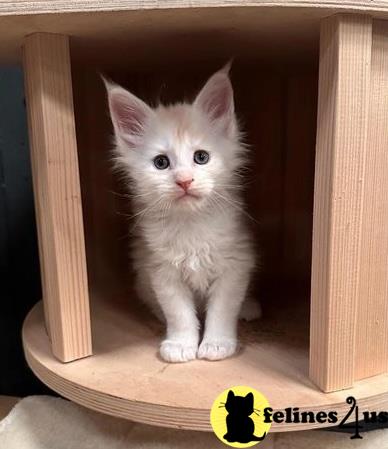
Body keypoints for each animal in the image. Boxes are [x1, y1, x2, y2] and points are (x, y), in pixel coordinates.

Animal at [105, 65, 260, 360]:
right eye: (161, 163)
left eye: (201, 157)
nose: (184, 181)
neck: (191, 223)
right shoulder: (161, 271)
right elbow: (179, 314)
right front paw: (180, 344)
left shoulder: (234, 264)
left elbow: (222, 310)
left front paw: (217, 344)